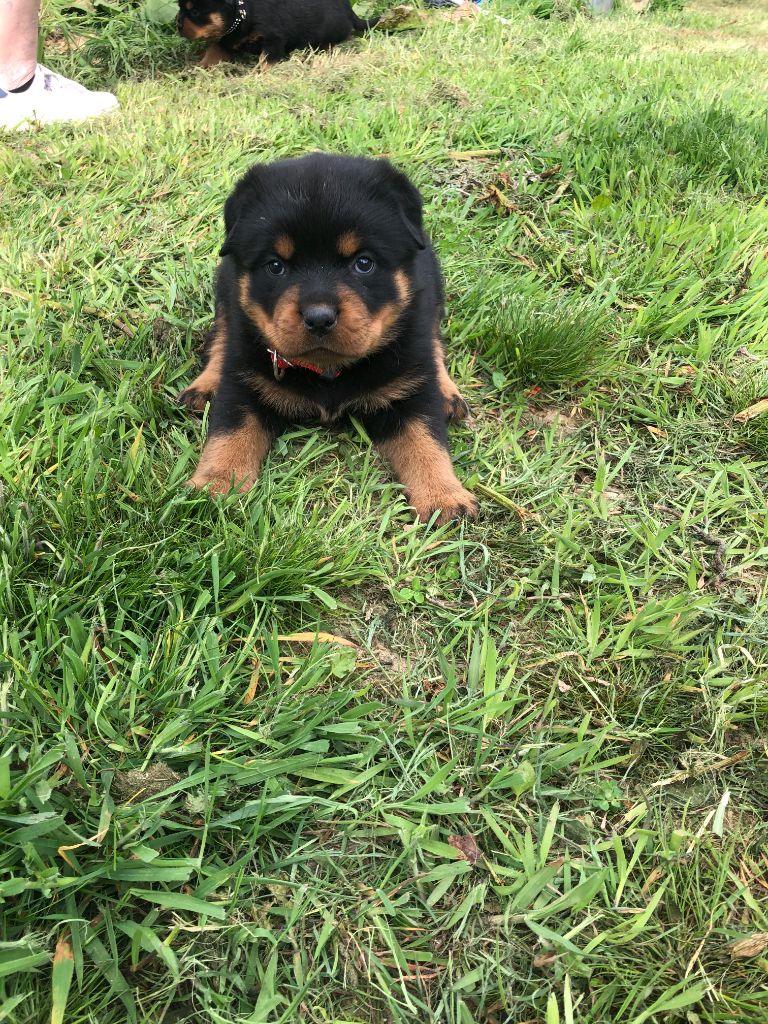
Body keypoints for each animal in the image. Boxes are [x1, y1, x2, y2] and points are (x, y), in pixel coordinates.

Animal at [174, 0, 378, 69]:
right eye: (180, 7)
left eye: (195, 12)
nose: (177, 24)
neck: (242, 14)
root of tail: (350, 11)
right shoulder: (226, 38)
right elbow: (212, 52)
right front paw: (197, 69)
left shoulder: (273, 39)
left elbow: (266, 61)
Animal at [180, 154, 479, 524]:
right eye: (275, 266)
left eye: (364, 263)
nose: (319, 317)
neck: (328, 371)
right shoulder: (242, 381)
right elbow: (229, 433)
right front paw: (216, 485)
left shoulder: (411, 387)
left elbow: (426, 441)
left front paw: (444, 497)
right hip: (226, 287)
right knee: (222, 332)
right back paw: (204, 385)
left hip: (432, 289)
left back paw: (448, 393)